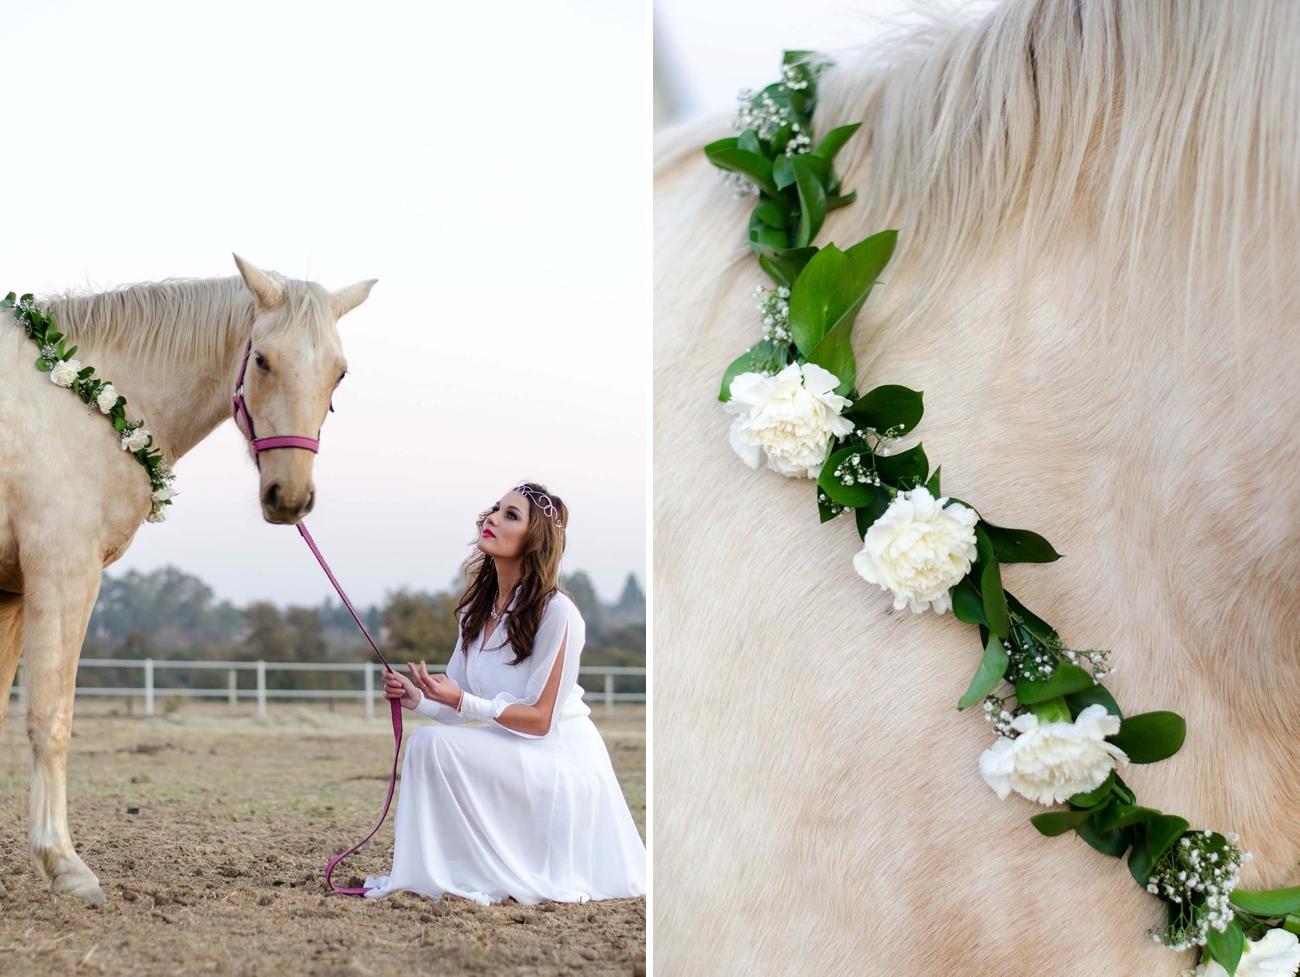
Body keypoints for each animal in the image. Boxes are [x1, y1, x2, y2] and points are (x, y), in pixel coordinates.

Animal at [0, 257, 374, 899]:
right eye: (262, 360)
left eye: (340, 372)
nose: (290, 497)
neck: (73, 404)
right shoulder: (61, 571)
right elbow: (51, 717)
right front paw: (65, 865)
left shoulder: (13, 592)